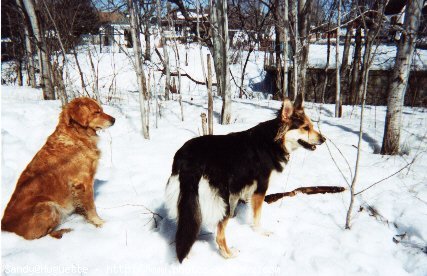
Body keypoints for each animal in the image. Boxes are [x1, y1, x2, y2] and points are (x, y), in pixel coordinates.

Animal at [166, 94, 326, 260]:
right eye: (305, 128)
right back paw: (229, 254)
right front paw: (260, 232)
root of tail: (188, 158)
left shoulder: (238, 190)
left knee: (187, 227)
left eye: (312, 126)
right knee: (219, 236)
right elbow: (257, 217)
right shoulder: (260, 189)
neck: (274, 141)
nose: (324, 139)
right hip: (221, 199)